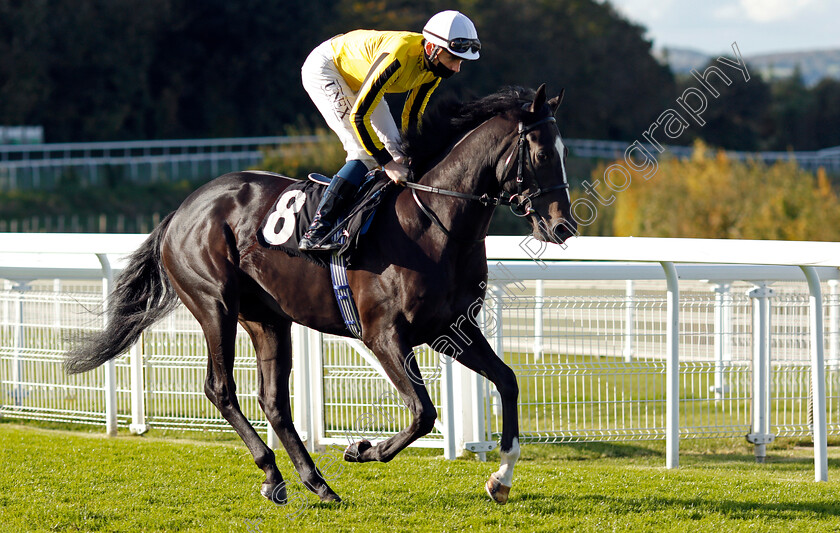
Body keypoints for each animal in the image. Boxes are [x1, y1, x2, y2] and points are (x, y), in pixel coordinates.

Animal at [64, 82, 576, 502]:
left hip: (267, 318)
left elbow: (507, 380)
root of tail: (181, 210)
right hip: (214, 305)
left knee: (274, 400)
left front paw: (501, 479)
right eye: (542, 154)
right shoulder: (383, 335)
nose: (563, 226)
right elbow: (423, 411)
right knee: (220, 388)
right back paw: (274, 471)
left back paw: (311, 482)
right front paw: (361, 448)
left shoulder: (451, 327)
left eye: (562, 152)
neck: (434, 221)